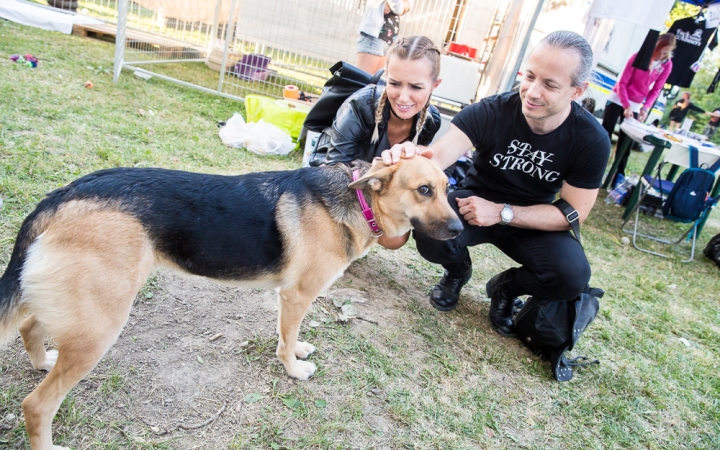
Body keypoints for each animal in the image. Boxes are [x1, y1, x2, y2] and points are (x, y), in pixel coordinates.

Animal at [0, 156, 462, 448]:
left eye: (448, 190)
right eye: (423, 190)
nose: (460, 231)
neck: (359, 199)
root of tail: (62, 195)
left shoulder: (290, 297)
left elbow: (288, 334)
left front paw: (296, 350)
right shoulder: (297, 295)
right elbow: (285, 339)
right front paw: (293, 369)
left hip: (79, 305)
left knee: (28, 326)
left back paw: (41, 360)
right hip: (101, 325)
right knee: (36, 405)